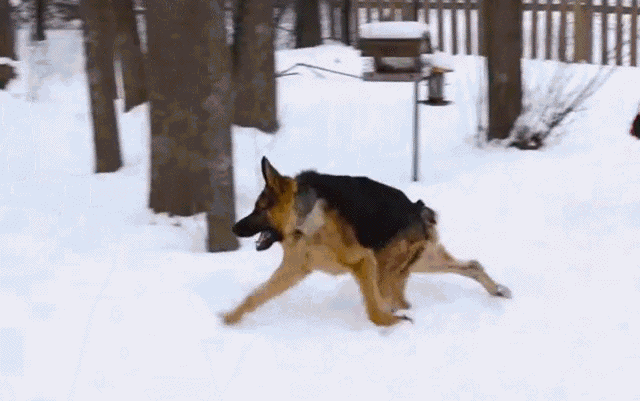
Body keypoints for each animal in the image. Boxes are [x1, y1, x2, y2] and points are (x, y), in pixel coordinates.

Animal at [223, 157, 511, 327]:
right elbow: (254, 296)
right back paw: (497, 290)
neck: (302, 220)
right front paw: (228, 319)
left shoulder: (363, 261)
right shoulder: (292, 271)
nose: (234, 228)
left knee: (397, 298)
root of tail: (418, 209)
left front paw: (391, 324)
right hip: (418, 262)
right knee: (472, 265)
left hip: (387, 267)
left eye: (259, 209)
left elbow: (374, 310)